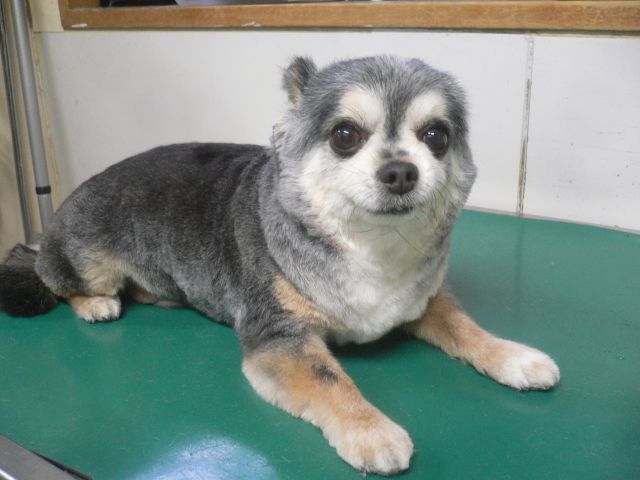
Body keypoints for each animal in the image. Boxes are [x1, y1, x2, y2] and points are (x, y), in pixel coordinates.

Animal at [0, 56, 560, 475]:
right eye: (344, 135)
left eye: (437, 136)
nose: (402, 170)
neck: (368, 247)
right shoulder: (278, 335)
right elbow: (330, 377)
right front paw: (370, 429)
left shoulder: (422, 300)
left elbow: (465, 327)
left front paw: (514, 357)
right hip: (87, 259)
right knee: (55, 277)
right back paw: (94, 303)